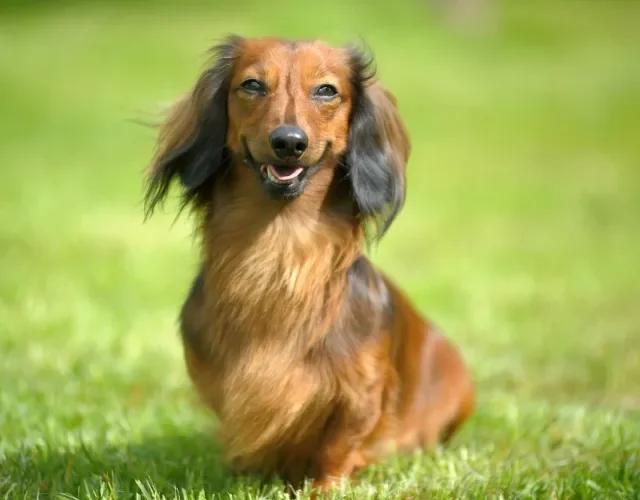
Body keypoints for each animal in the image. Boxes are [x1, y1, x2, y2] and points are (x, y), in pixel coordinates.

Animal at [145, 34, 476, 492]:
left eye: (326, 90)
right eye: (252, 85)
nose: (289, 141)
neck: (280, 252)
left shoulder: (360, 395)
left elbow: (337, 446)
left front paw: (323, 488)